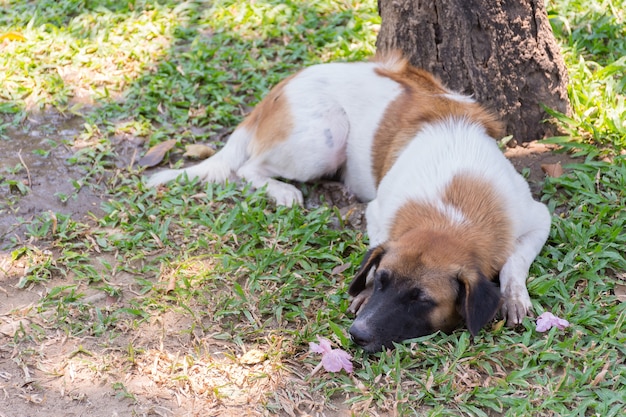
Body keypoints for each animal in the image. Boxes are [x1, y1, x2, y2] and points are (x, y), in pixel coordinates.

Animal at [149, 51, 548, 352]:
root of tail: (283, 86)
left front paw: (514, 295)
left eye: (420, 299)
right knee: (249, 167)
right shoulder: (379, 214)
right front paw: (363, 289)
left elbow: (514, 263)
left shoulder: (537, 218)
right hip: (323, 140)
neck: (451, 209)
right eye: (383, 280)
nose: (357, 334)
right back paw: (283, 191)